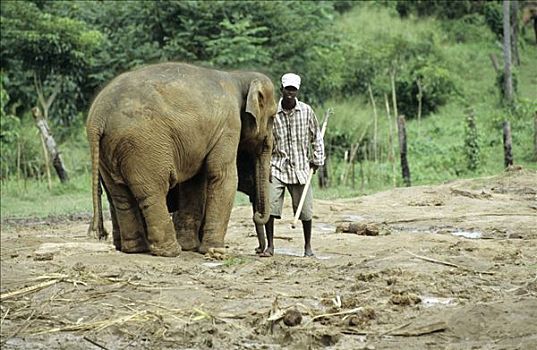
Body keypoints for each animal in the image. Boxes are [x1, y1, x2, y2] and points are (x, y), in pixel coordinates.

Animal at [86, 61, 276, 256]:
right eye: (273, 117)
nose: (259, 251)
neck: (239, 76)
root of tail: (97, 117)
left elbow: (194, 182)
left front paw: (190, 247)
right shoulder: (229, 124)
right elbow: (223, 176)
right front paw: (213, 250)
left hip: (110, 151)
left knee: (120, 195)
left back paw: (136, 249)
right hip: (142, 145)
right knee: (153, 191)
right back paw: (170, 251)